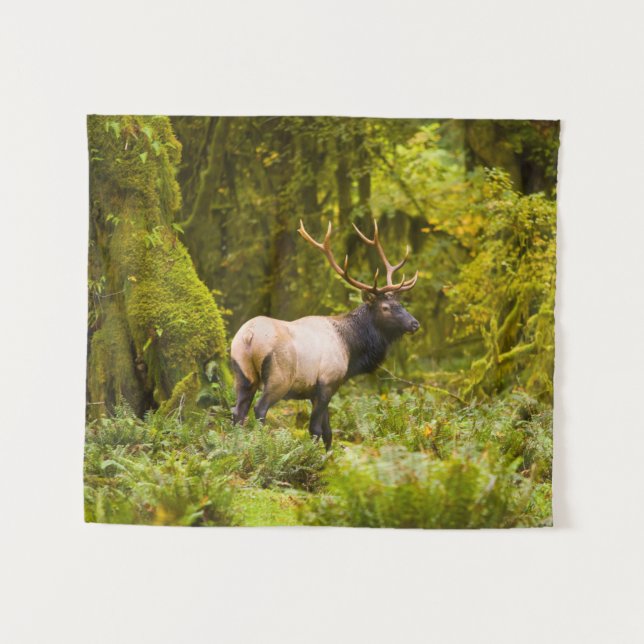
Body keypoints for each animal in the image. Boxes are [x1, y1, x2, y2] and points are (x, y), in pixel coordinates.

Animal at [230, 219, 420, 450]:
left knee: (237, 412)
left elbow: (328, 432)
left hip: (242, 372)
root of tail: (248, 336)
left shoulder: (317, 391)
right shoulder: (328, 382)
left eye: (400, 304)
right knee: (259, 408)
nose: (414, 323)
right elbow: (316, 430)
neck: (351, 349)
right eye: (386, 307)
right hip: (279, 376)